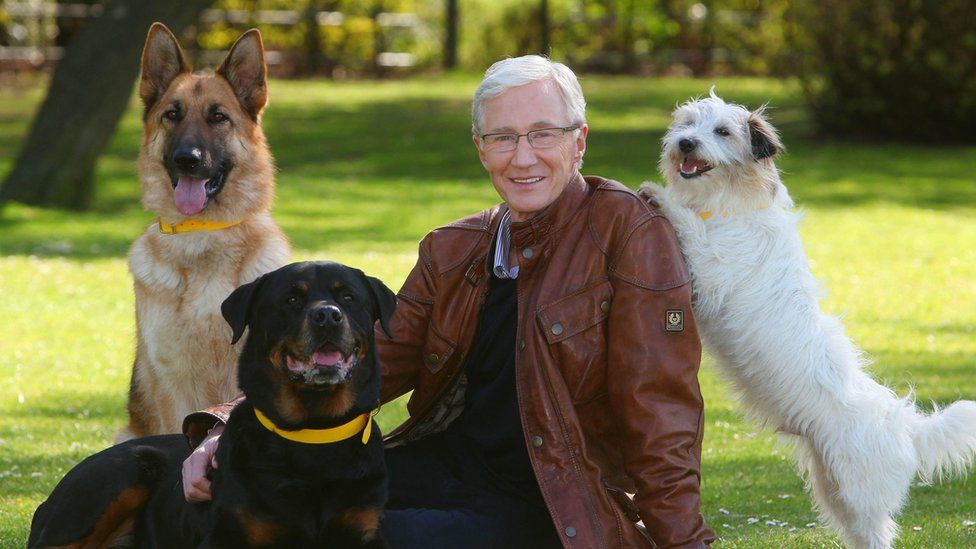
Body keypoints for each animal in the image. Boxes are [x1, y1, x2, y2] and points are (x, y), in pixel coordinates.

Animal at [30, 262, 396, 548]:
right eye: (291, 299)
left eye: (348, 297)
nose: (327, 316)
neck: (313, 433)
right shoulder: (225, 535)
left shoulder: (363, 530)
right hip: (116, 475)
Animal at [640, 93, 976, 548]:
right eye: (688, 124)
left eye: (722, 132)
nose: (686, 143)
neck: (728, 203)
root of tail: (905, 425)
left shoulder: (711, 272)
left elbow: (689, 227)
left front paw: (659, 195)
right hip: (831, 487)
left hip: (859, 494)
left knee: (879, 533)